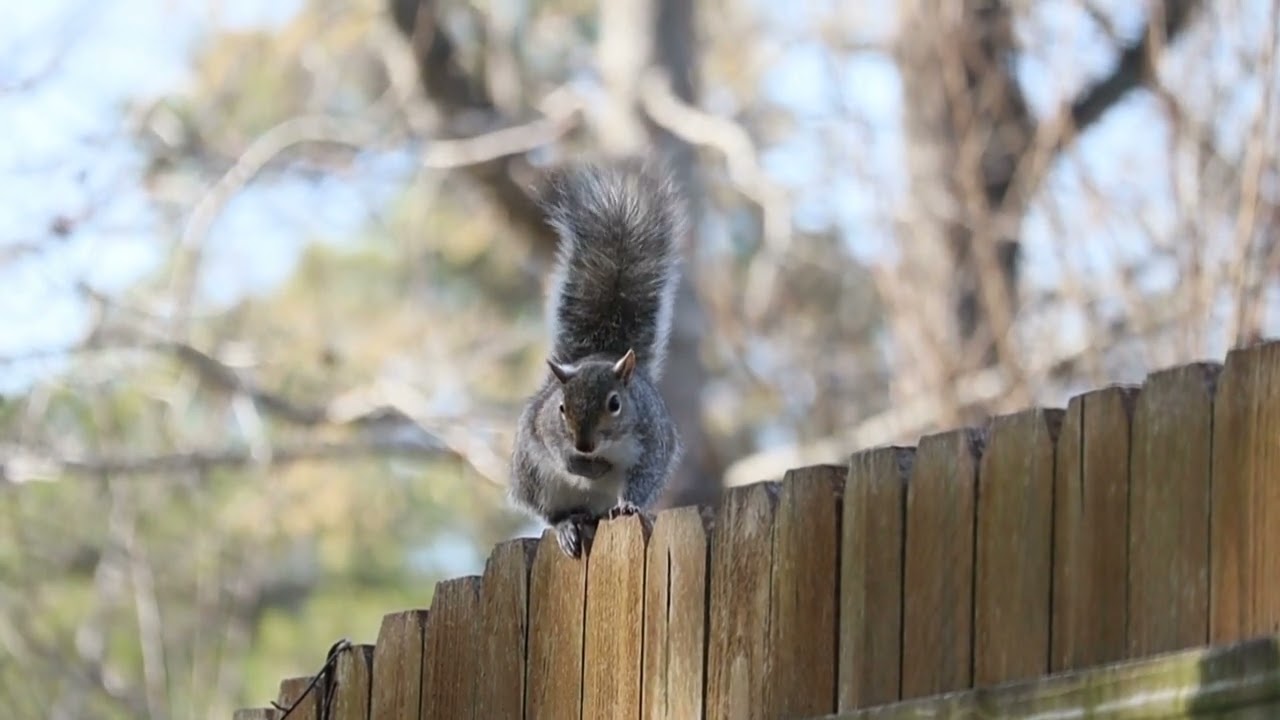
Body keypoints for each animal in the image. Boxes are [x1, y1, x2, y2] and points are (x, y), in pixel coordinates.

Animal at [508, 159, 686, 558]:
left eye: (615, 404)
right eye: (561, 408)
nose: (583, 446)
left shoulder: (652, 442)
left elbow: (641, 477)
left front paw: (628, 504)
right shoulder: (542, 430)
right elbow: (555, 451)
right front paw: (579, 465)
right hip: (534, 479)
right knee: (555, 512)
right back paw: (566, 527)